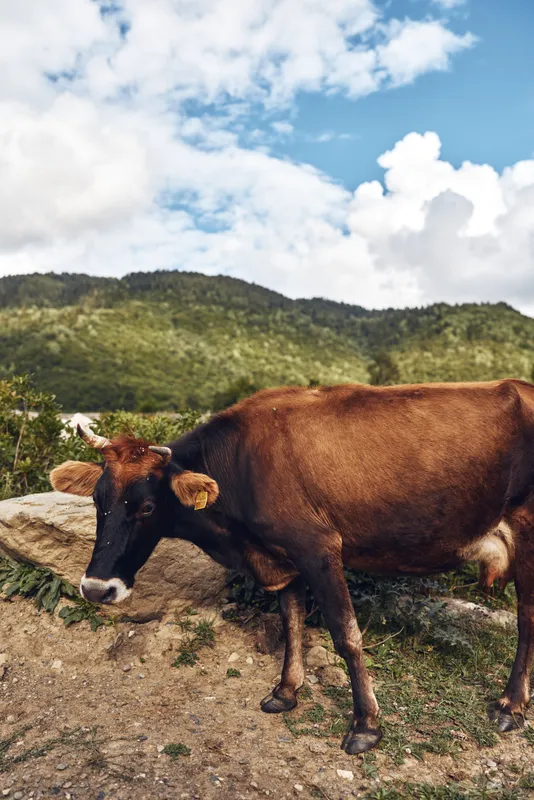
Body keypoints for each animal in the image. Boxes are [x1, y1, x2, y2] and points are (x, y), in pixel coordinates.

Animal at [49, 379, 534, 754]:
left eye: (147, 507)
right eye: (97, 499)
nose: (96, 588)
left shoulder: (318, 546)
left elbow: (347, 635)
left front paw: (366, 725)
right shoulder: (282, 556)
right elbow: (292, 622)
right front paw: (286, 691)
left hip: (528, 530)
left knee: (526, 618)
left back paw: (510, 706)